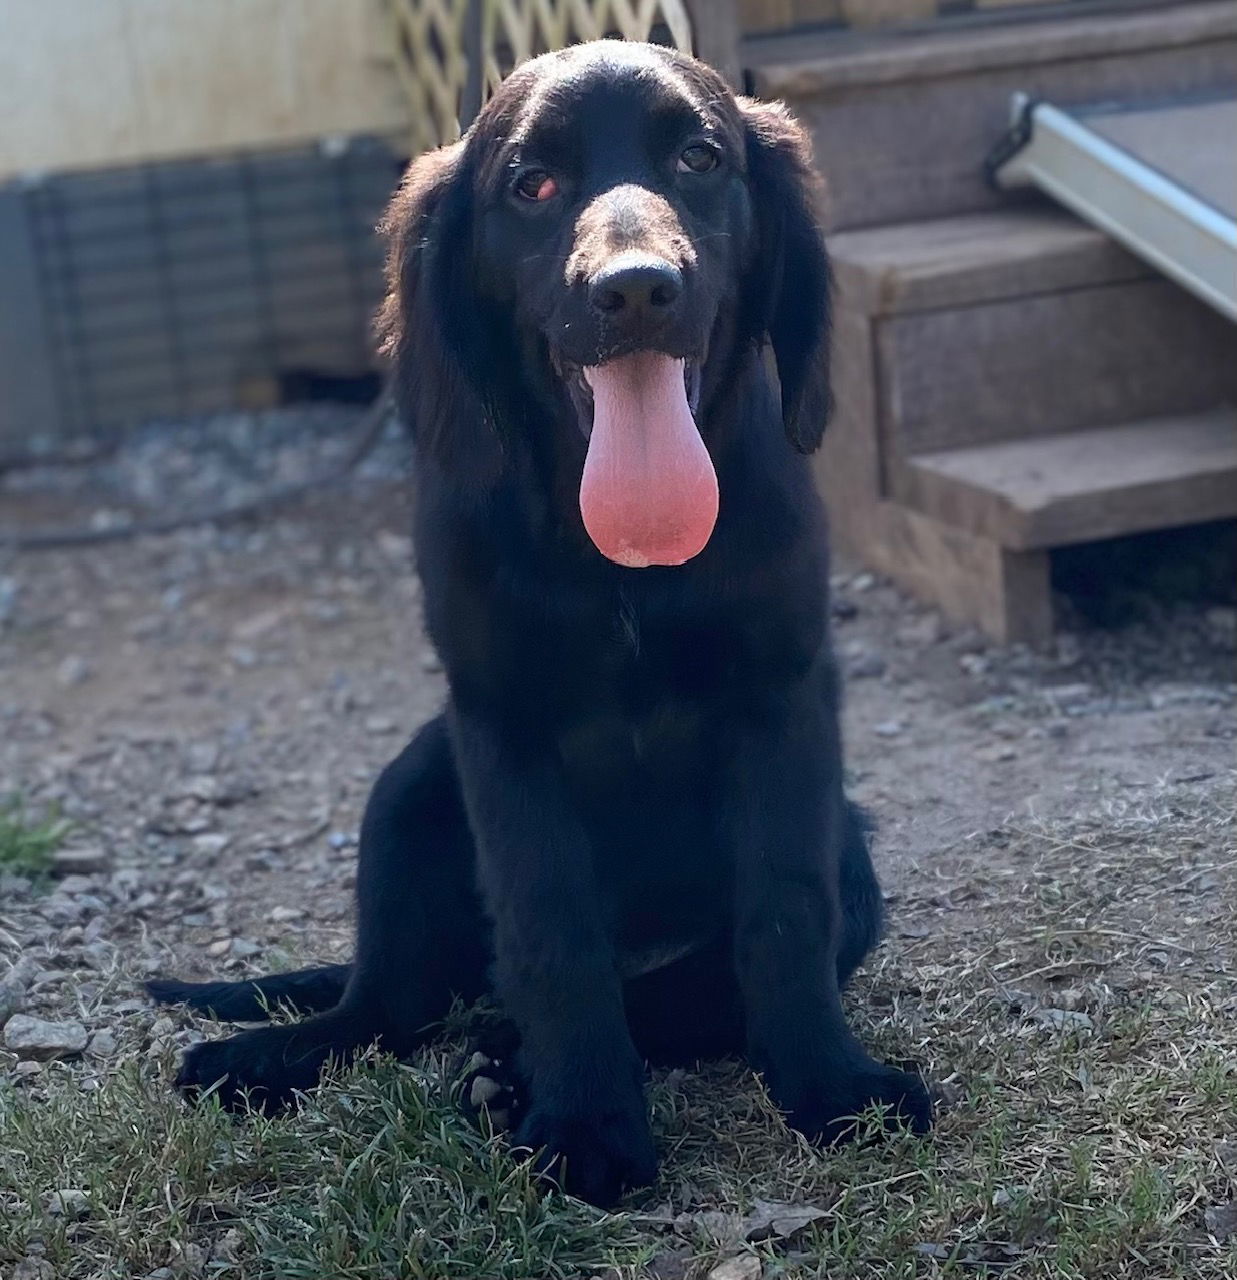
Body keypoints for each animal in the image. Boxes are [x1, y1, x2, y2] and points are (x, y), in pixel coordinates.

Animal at [149, 37, 932, 1198]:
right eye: (533, 186)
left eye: (699, 159)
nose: (636, 290)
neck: (621, 559)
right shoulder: (501, 726)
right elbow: (551, 935)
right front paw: (587, 1128)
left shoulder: (785, 699)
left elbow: (781, 915)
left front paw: (832, 1087)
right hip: (405, 791)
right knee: (390, 1005)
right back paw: (280, 1055)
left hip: (852, 852)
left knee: (679, 990)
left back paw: (504, 1064)